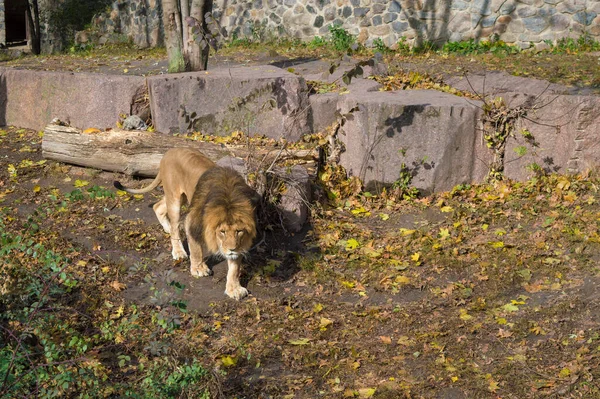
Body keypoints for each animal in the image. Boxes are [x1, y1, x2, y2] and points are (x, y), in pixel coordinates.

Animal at [115, 148, 258, 300]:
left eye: (239, 231)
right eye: (222, 231)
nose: (232, 249)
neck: (228, 197)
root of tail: (170, 151)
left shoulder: (241, 243)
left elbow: (235, 268)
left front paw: (234, 289)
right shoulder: (191, 220)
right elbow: (195, 248)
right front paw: (198, 269)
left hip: (183, 197)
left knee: (158, 206)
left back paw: (166, 227)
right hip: (175, 200)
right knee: (174, 227)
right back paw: (178, 251)